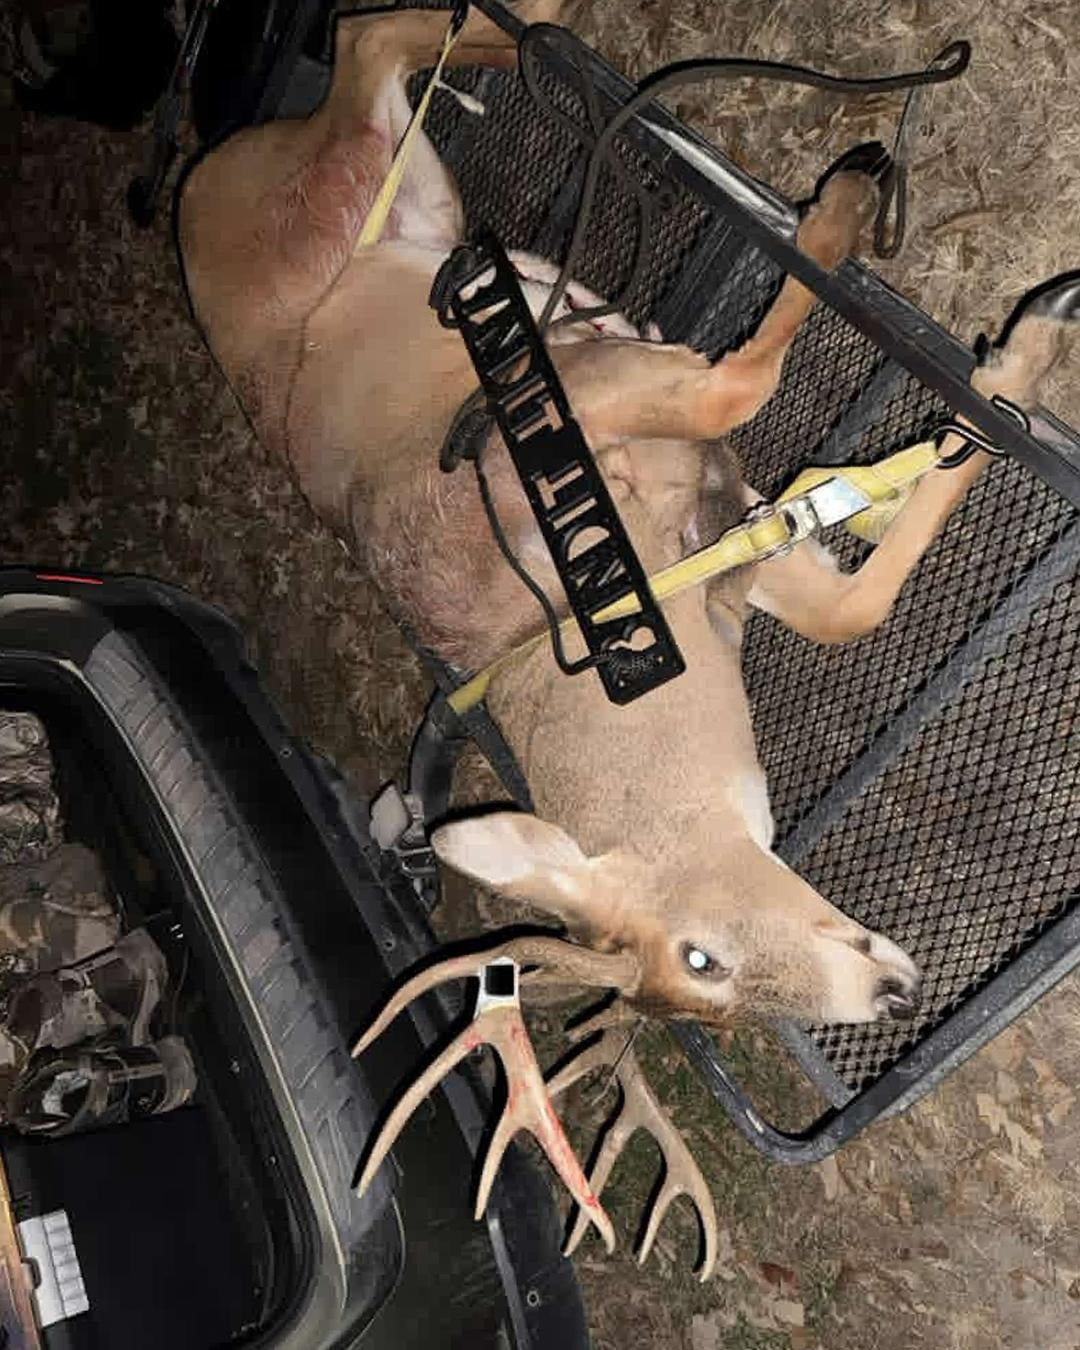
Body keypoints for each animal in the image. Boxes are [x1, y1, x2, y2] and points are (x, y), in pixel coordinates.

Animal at [178, 0, 1080, 1278]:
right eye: (701, 974)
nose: (898, 999)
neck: (586, 630)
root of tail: (199, 194)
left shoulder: (666, 481)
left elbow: (788, 482)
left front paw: (947, 302)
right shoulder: (701, 511)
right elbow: (783, 473)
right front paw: (1005, 349)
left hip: (406, 203)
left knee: (378, 45)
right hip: (366, 189)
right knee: (370, 49)